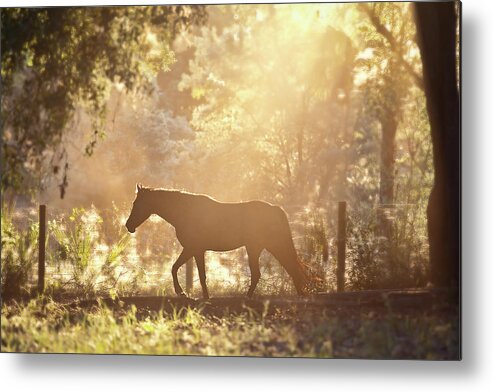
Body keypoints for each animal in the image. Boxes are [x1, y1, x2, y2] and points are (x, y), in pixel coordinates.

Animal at [125, 183, 306, 298]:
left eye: (137, 203)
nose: (128, 225)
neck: (185, 212)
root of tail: (275, 209)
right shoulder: (194, 250)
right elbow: (186, 270)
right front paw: (199, 296)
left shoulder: (193, 249)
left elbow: (185, 271)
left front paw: (183, 293)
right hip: (266, 247)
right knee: (289, 269)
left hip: (260, 247)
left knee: (267, 272)